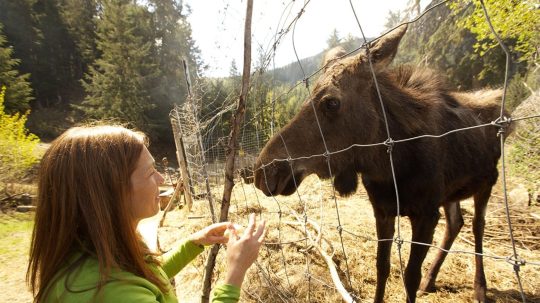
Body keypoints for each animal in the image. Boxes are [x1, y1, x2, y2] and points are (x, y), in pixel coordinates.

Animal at [253, 24, 510, 303]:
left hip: (488, 180)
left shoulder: (426, 213)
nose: (264, 171)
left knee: (477, 225)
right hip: (450, 192)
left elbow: (410, 276)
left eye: (331, 102)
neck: (389, 167)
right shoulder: (383, 210)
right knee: (456, 223)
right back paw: (431, 280)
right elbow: (382, 267)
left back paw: (480, 287)